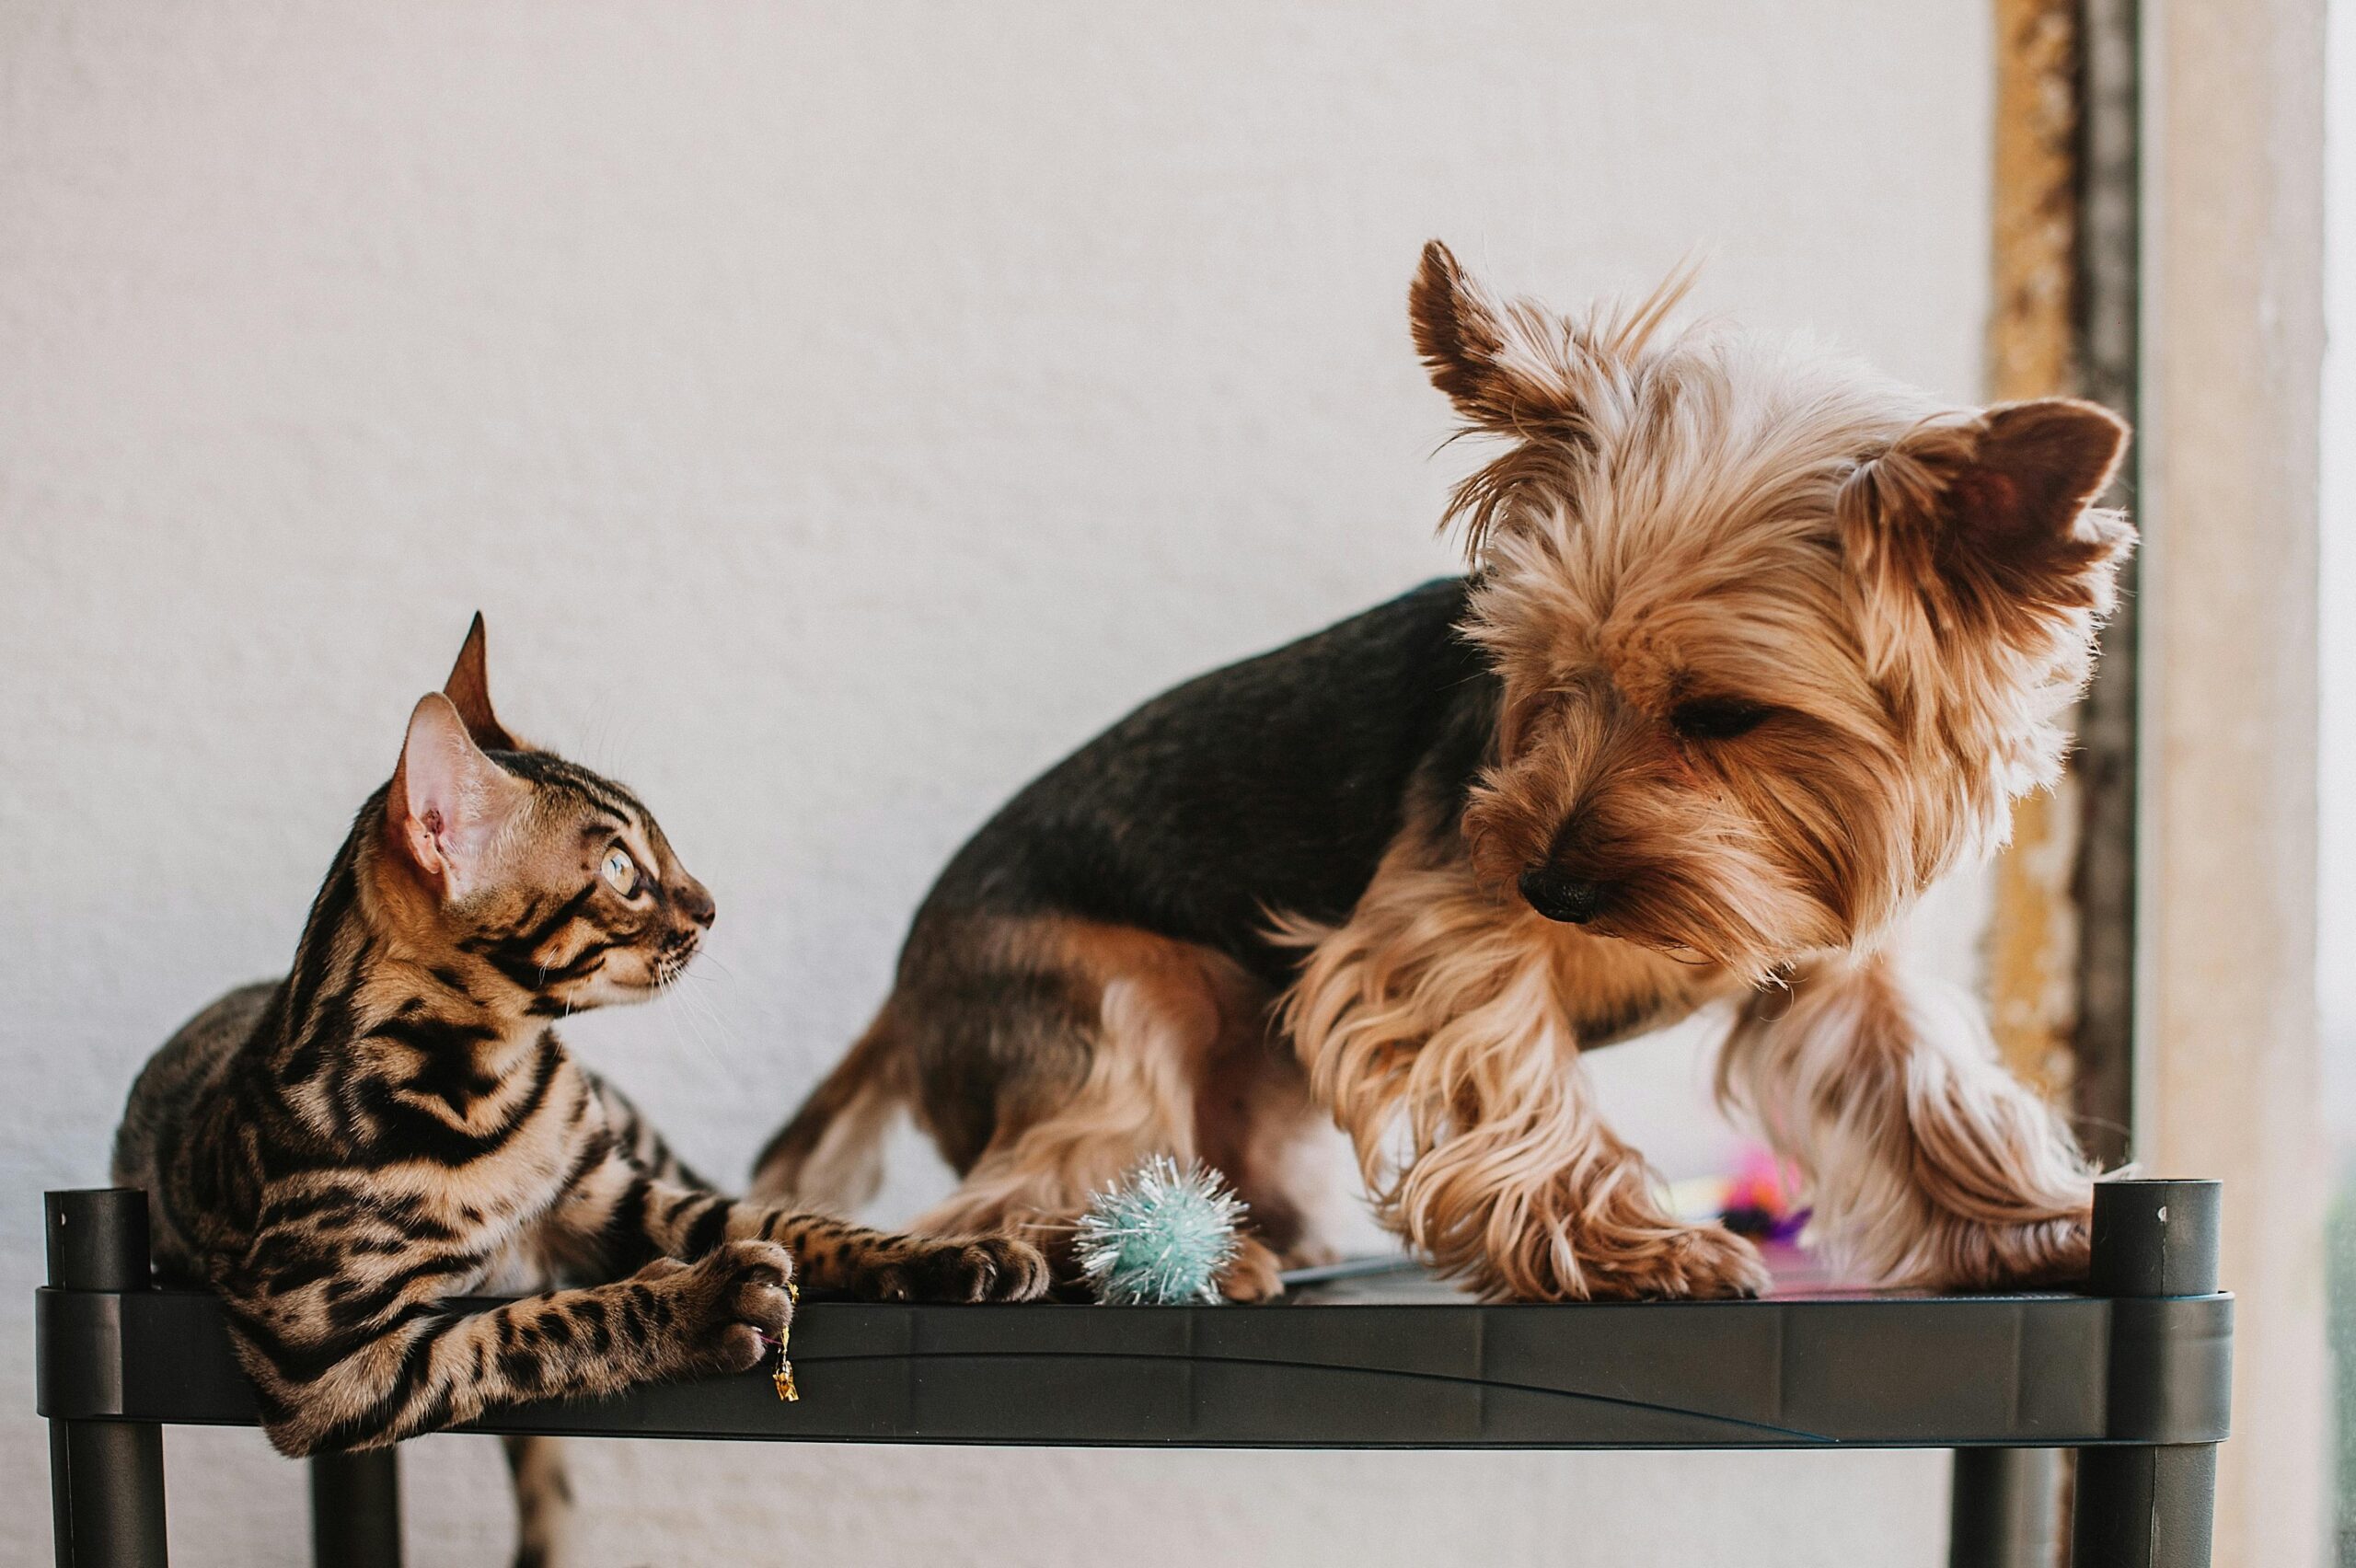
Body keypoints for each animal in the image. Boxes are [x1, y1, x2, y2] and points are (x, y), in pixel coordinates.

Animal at [110, 621, 1050, 1553]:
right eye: (622, 872)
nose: (711, 907)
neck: (486, 1091)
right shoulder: (328, 1360)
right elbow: (551, 1321)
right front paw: (703, 1302)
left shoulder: (616, 1194)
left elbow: (791, 1220)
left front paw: (947, 1254)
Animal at [758, 241, 2139, 1290]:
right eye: (1542, 675)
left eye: (1724, 714)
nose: (1553, 889)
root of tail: (902, 992)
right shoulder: (1435, 925)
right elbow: (1510, 1062)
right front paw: (1622, 1247)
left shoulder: (1839, 962)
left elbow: (1921, 1088)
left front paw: (2030, 1224)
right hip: (1102, 997)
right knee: (1023, 1177)